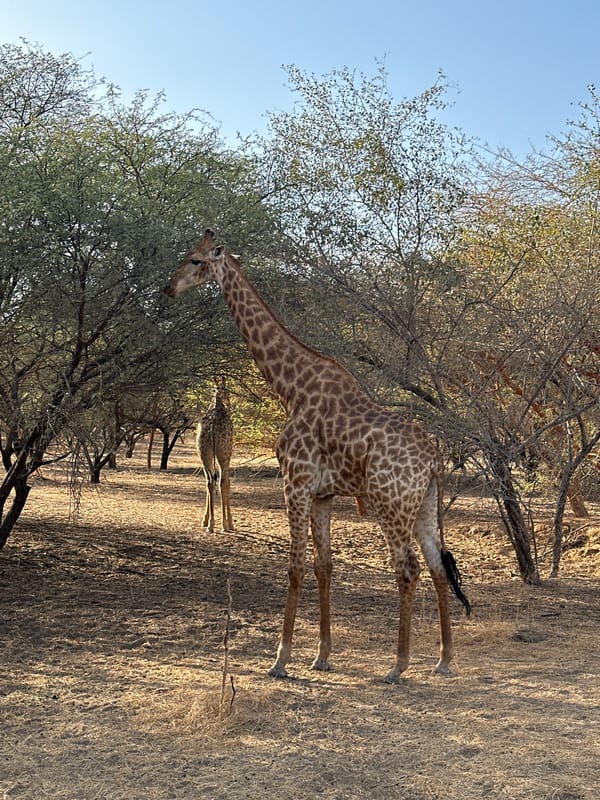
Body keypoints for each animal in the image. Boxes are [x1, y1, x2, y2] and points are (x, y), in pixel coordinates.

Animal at [164, 229, 470, 683]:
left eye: (196, 260)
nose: (169, 288)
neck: (291, 388)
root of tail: (433, 458)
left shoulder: (295, 482)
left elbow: (294, 566)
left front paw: (280, 659)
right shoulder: (322, 494)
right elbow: (324, 566)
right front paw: (322, 655)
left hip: (390, 504)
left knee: (408, 568)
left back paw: (397, 666)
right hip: (425, 506)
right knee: (437, 566)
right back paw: (444, 659)